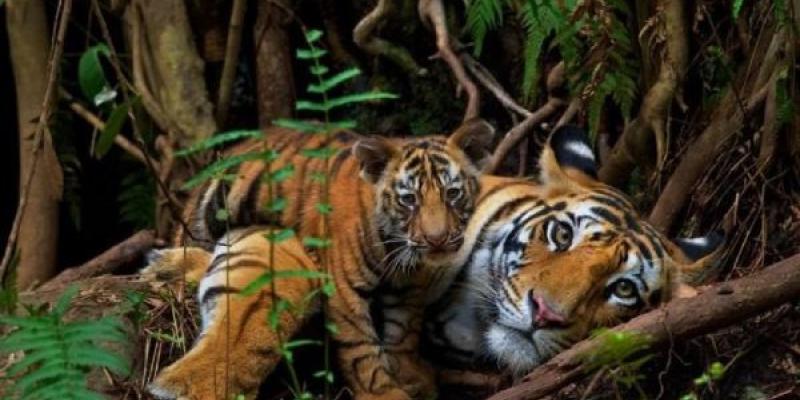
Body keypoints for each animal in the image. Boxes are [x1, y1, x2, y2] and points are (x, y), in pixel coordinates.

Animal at [142, 119, 496, 400]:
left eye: (452, 193)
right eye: (409, 200)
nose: (437, 238)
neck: (398, 248)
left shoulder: (408, 288)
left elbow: (404, 331)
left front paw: (410, 376)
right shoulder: (344, 286)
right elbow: (360, 348)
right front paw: (382, 393)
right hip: (208, 211)